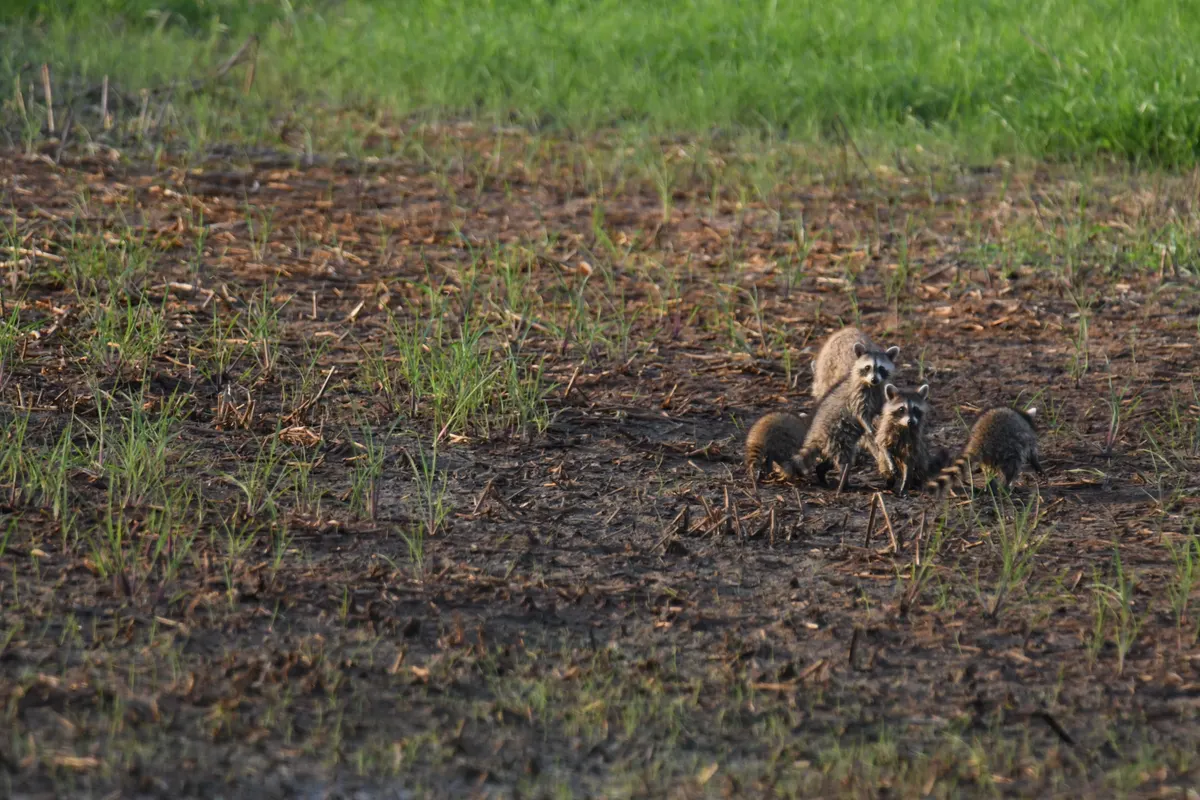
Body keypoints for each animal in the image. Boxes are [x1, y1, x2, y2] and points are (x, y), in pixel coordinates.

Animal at [793, 348, 891, 494]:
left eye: (881, 368)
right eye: (867, 367)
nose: (874, 379)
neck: (872, 385)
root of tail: (815, 434)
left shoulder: (880, 393)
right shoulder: (858, 395)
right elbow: (861, 414)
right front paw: (870, 429)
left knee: (838, 459)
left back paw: (822, 471)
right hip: (836, 436)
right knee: (844, 460)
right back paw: (844, 482)